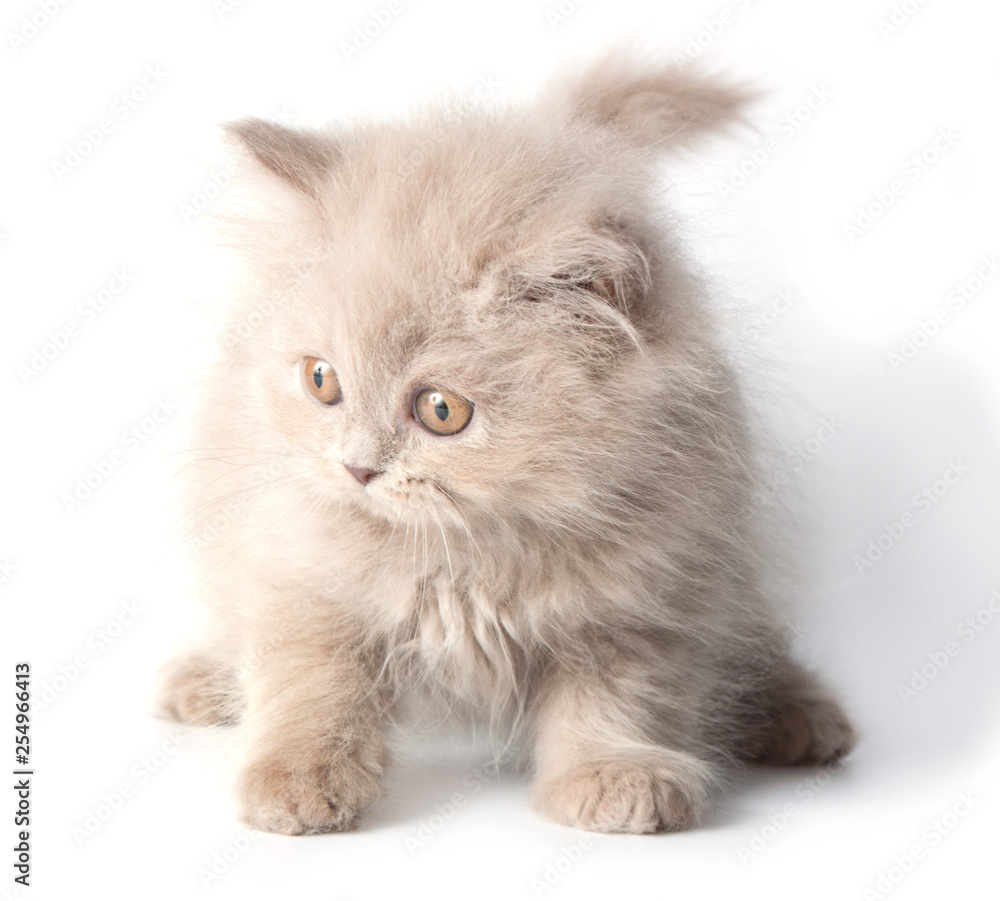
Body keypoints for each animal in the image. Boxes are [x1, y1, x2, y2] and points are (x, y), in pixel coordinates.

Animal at [160, 52, 856, 832]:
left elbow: (619, 698)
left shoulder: (648, 599)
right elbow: (310, 679)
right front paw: (296, 780)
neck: (464, 557)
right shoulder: (294, 567)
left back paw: (799, 715)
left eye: (441, 410)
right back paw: (202, 681)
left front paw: (612, 775)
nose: (358, 468)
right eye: (321, 380)